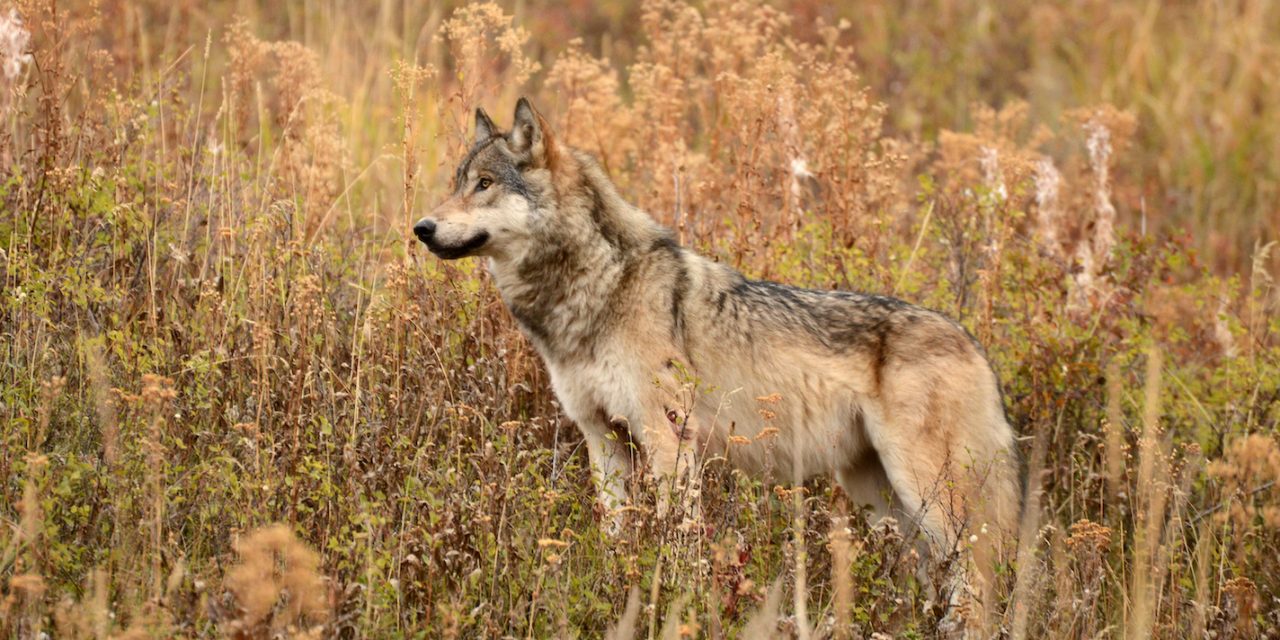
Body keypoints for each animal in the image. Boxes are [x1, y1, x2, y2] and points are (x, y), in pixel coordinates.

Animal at [414, 98, 1021, 583]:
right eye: (457, 182)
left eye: (485, 185)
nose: (421, 228)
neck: (599, 287)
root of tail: (977, 348)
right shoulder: (603, 441)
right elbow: (615, 537)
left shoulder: (668, 440)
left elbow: (678, 541)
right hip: (882, 501)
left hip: (933, 500)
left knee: (981, 584)